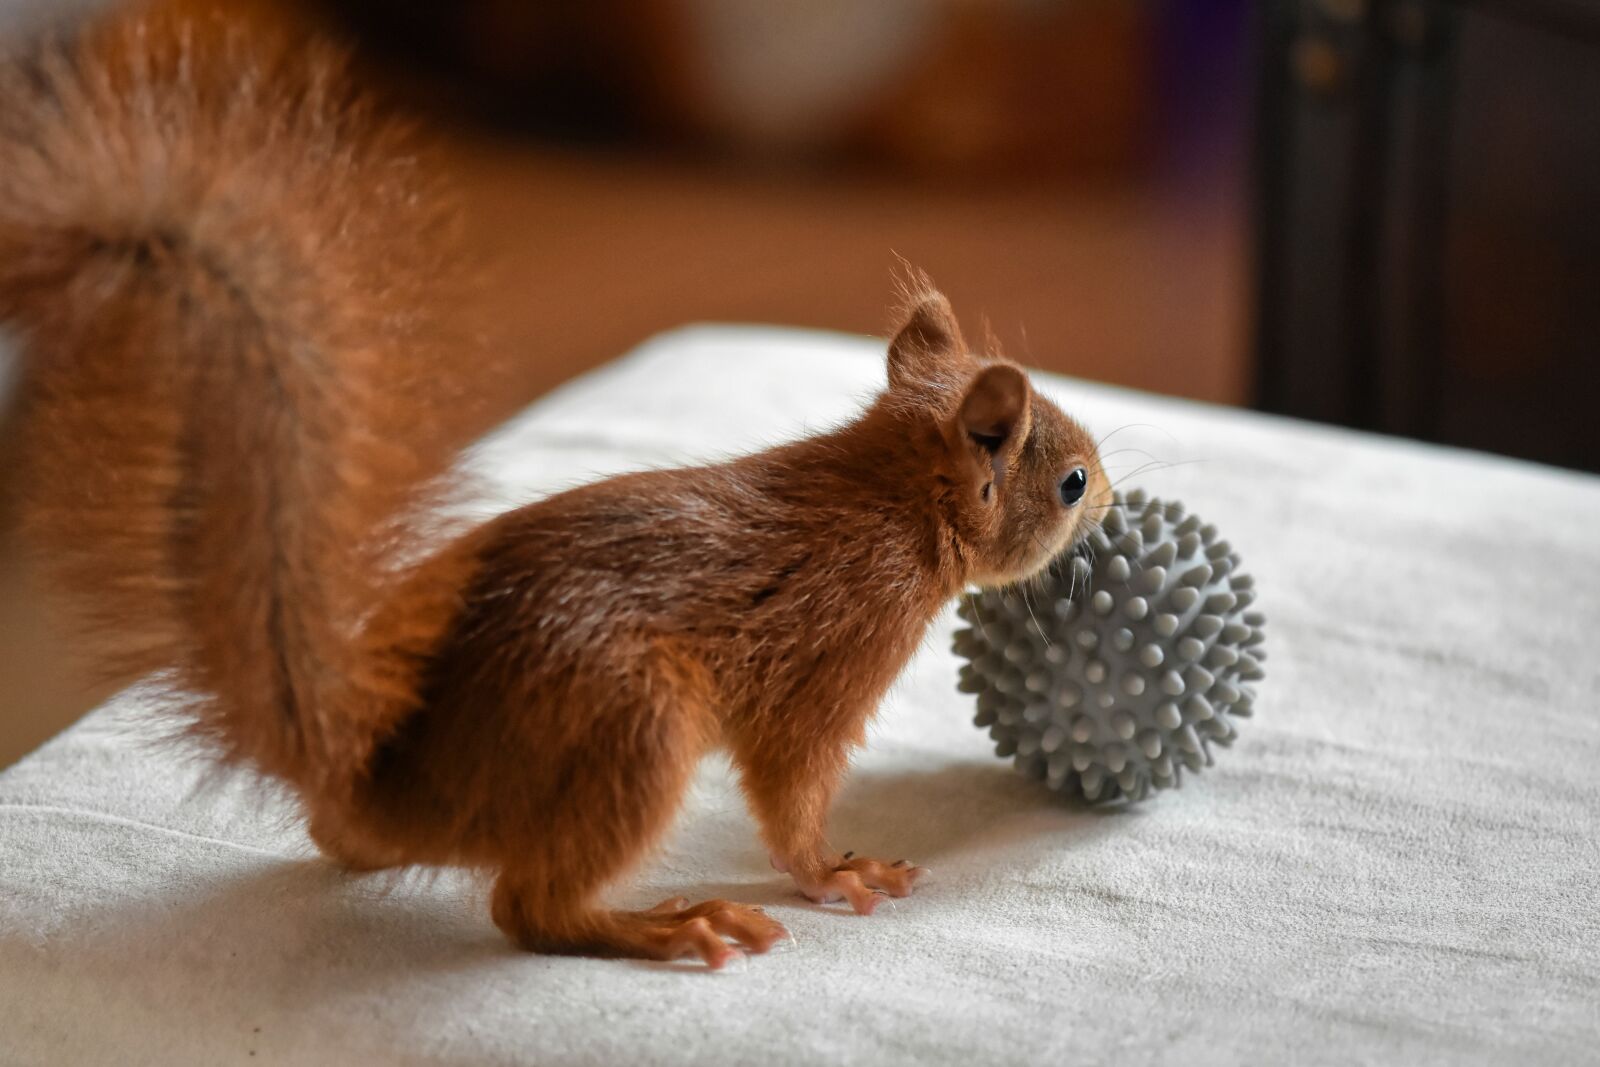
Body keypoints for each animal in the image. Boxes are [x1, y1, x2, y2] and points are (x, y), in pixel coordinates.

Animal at [0, 11, 1112, 968]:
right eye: (1067, 481)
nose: (1107, 501)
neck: (892, 503)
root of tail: (375, 781)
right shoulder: (834, 653)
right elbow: (790, 785)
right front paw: (836, 869)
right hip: (631, 727)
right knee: (526, 908)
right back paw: (665, 925)